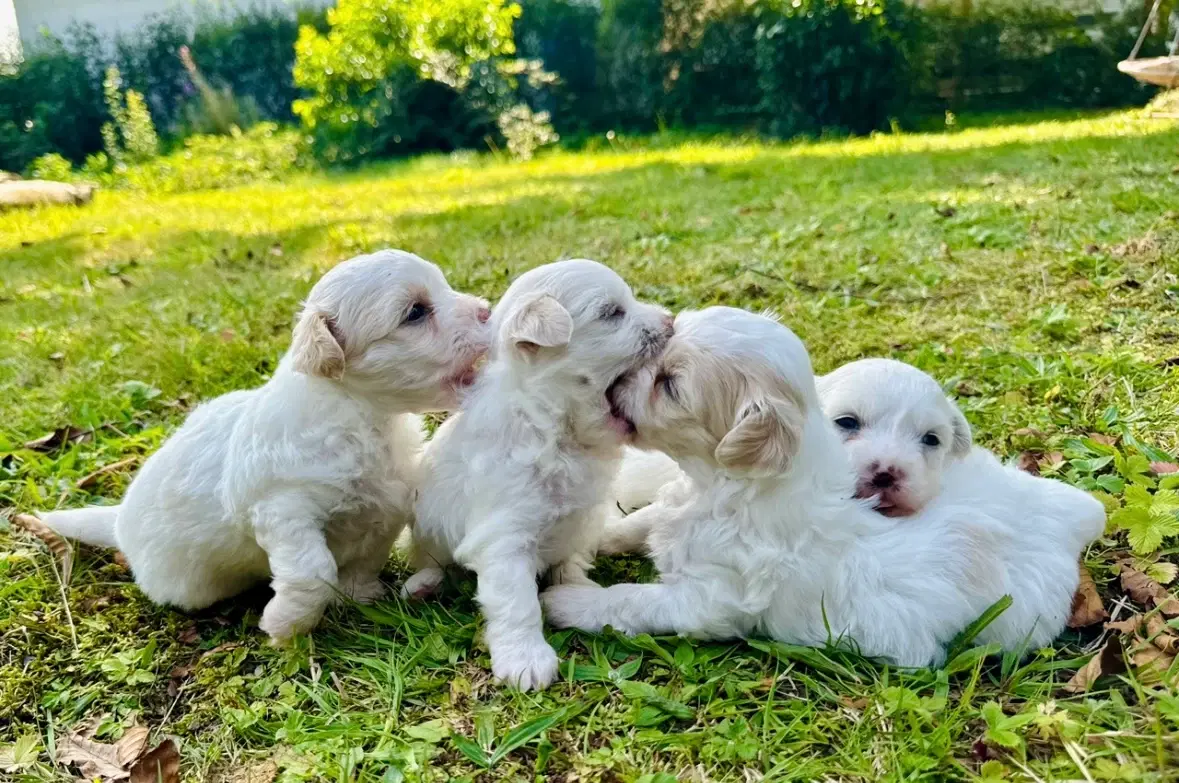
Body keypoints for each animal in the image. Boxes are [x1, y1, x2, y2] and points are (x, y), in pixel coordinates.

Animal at [36, 248, 488, 641]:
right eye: (415, 312)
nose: (486, 309)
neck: (363, 414)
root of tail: (118, 522)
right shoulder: (283, 509)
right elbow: (314, 569)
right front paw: (286, 626)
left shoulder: (384, 506)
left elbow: (366, 557)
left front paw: (358, 593)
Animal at [410, 259, 674, 688]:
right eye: (612, 313)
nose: (671, 320)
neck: (558, 431)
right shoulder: (505, 538)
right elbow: (517, 602)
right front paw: (526, 660)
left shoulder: (581, 519)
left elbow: (570, 563)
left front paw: (579, 592)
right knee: (430, 559)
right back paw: (423, 583)